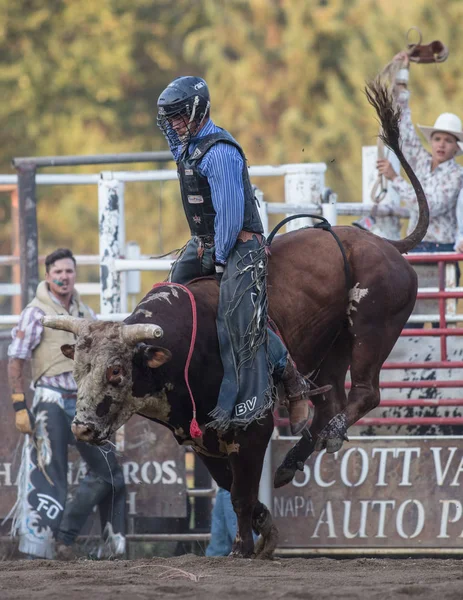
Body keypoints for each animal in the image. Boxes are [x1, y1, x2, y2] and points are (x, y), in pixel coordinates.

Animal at [44, 82, 432, 560]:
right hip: (332, 345)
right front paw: (264, 530)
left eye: (116, 372)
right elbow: (231, 490)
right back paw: (291, 461)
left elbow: (243, 492)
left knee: (365, 393)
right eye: (78, 370)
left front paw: (243, 546)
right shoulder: (199, 436)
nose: (81, 426)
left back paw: (331, 437)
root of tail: (385, 244)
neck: (185, 348)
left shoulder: (252, 425)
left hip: (373, 327)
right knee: (328, 402)